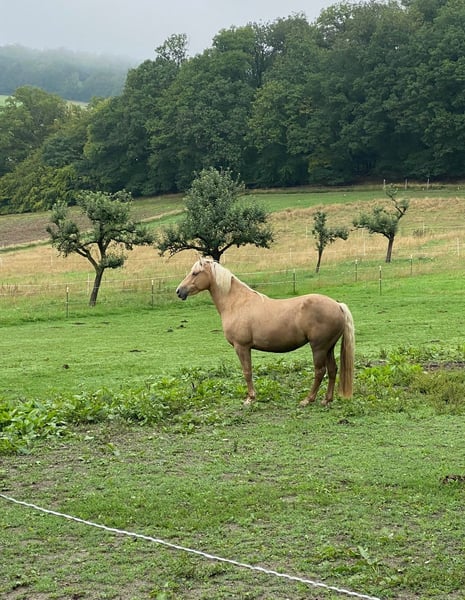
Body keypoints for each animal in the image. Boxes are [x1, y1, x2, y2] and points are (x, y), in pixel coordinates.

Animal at [176, 258, 355, 406]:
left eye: (195, 273)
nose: (179, 291)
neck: (236, 303)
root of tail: (337, 305)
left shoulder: (241, 347)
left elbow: (247, 372)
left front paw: (250, 398)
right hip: (328, 348)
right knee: (332, 370)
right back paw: (327, 400)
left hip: (318, 348)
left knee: (320, 371)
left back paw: (308, 400)